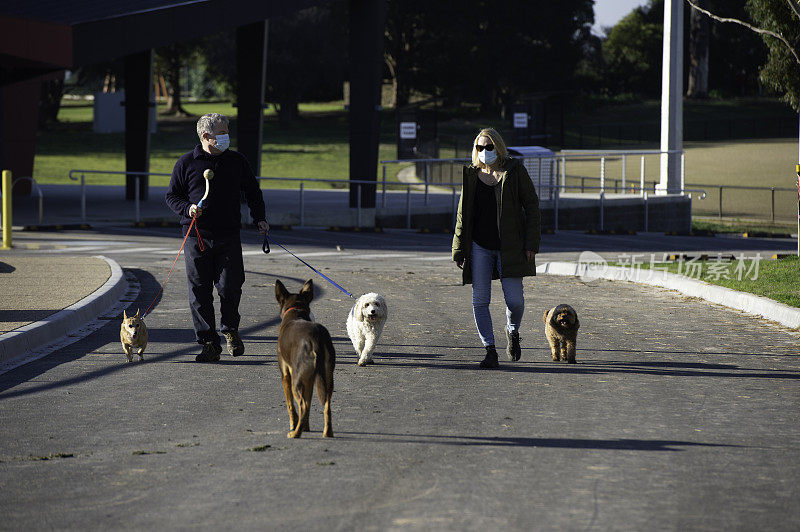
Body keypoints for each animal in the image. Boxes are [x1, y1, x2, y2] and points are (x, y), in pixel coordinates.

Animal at [276, 278, 336, 436]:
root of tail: (314, 338)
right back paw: (327, 433)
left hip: (296, 380)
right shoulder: (309, 378)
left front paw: (294, 425)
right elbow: (309, 404)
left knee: (301, 404)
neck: (296, 310)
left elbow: (291, 405)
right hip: (327, 378)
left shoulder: (286, 375)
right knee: (326, 405)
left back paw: (295, 434)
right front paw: (305, 427)